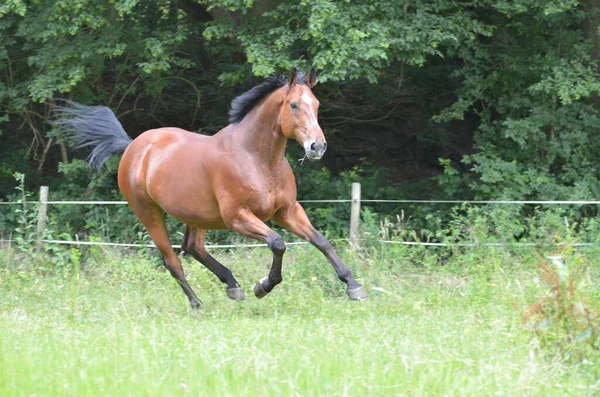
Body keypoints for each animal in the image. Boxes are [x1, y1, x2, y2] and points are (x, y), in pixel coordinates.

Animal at [54, 69, 368, 308]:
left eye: (316, 105)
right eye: (293, 105)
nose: (317, 147)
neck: (258, 158)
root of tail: (133, 146)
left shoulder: (287, 212)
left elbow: (321, 241)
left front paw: (354, 286)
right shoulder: (238, 217)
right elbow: (278, 244)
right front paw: (263, 286)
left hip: (196, 215)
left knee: (192, 247)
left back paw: (232, 285)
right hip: (149, 215)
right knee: (173, 260)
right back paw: (197, 303)